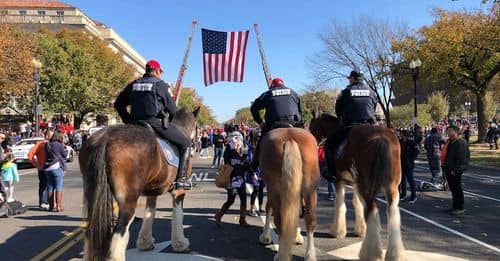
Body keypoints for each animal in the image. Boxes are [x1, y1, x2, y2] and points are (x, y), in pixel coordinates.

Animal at [79, 106, 198, 260]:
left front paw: (145, 242)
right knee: (119, 234)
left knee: (90, 231)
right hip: (128, 201)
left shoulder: (153, 191)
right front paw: (180, 244)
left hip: (93, 197)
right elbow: (178, 214)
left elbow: (150, 212)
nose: (195, 145)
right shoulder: (179, 191)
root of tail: (105, 137)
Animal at [258, 127, 320, 260]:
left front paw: (265, 236)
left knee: (279, 220)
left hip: (274, 189)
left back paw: (281, 255)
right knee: (310, 219)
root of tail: (290, 138)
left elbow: (268, 207)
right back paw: (310, 255)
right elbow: (297, 210)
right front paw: (296, 235)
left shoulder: (270, 189)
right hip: (310, 190)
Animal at [310, 113, 404, 260]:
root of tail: (380, 137)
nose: (312, 141)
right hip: (392, 187)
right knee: (392, 212)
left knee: (372, 210)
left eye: (312, 126)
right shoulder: (355, 182)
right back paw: (395, 255)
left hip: (368, 186)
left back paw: (370, 253)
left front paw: (337, 231)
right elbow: (357, 203)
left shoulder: (339, 180)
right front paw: (360, 230)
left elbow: (340, 204)